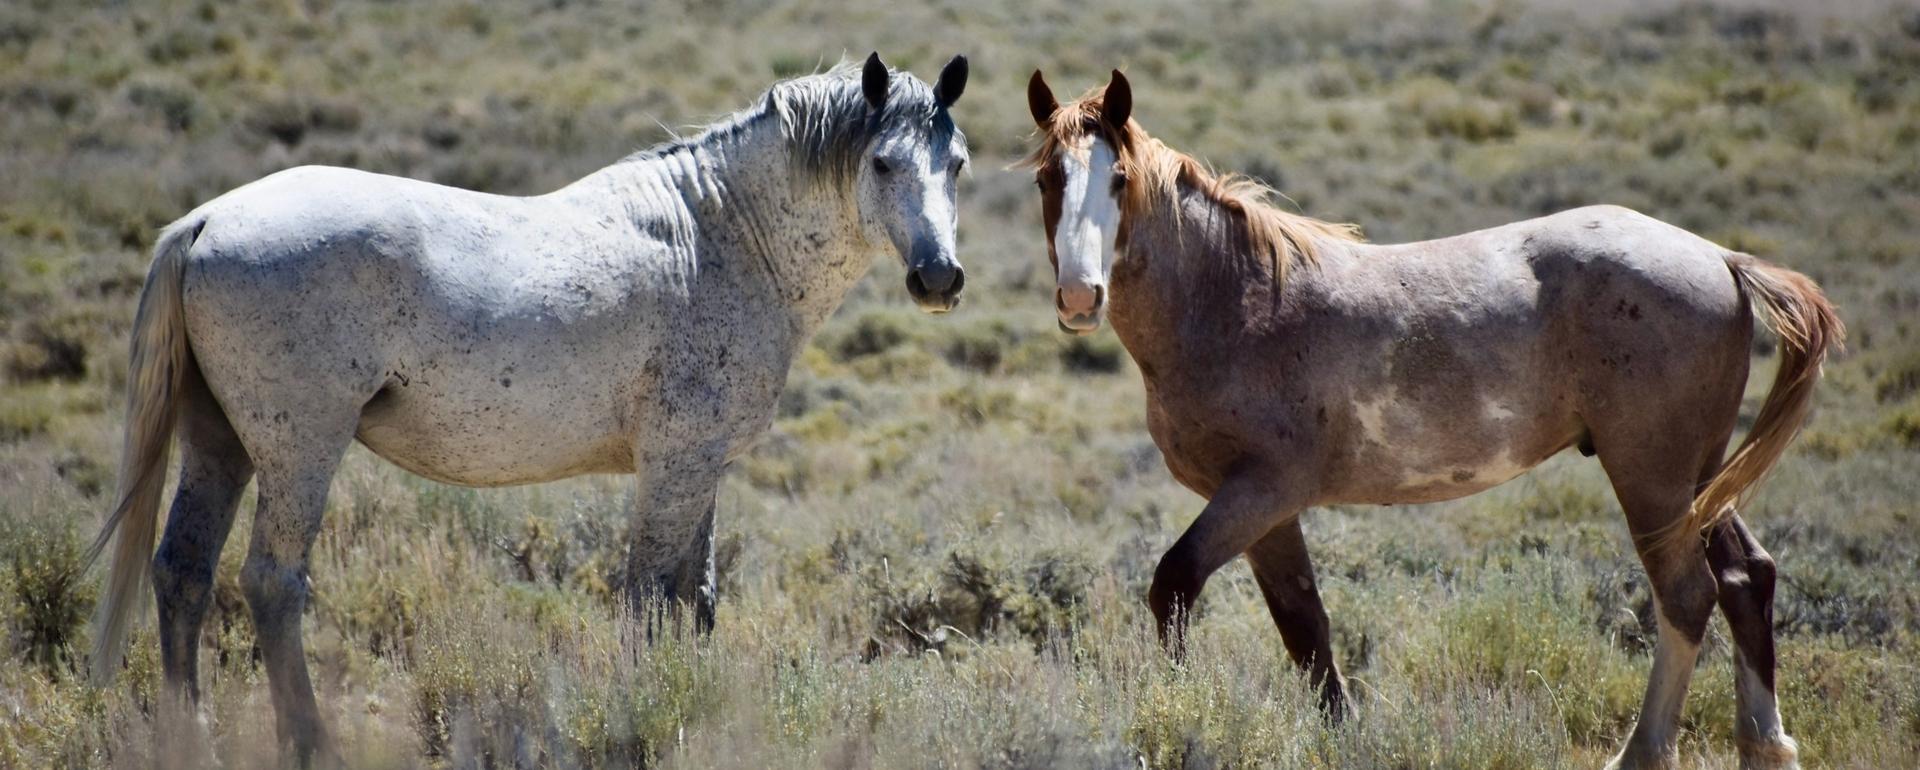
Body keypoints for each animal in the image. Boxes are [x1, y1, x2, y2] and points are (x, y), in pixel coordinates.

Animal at [82, 55, 967, 760]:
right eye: (882, 163)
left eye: (955, 162)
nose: (939, 278)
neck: (716, 240)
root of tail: (208, 221)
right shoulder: (676, 465)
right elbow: (648, 602)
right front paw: (646, 715)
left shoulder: (702, 466)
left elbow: (696, 603)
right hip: (300, 450)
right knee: (271, 583)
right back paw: (311, 745)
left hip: (220, 443)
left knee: (184, 572)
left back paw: (189, 739)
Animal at [1021, 69, 1843, 764]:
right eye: (1046, 178)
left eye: (1119, 179)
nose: (1080, 297)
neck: (1237, 299)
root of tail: (1722, 258)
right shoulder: (1268, 513)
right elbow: (1306, 626)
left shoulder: (1260, 492)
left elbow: (1177, 585)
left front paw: (1180, 712)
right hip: (1698, 476)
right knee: (1745, 575)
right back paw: (1766, 744)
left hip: (1651, 476)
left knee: (1688, 595)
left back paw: (1642, 751)